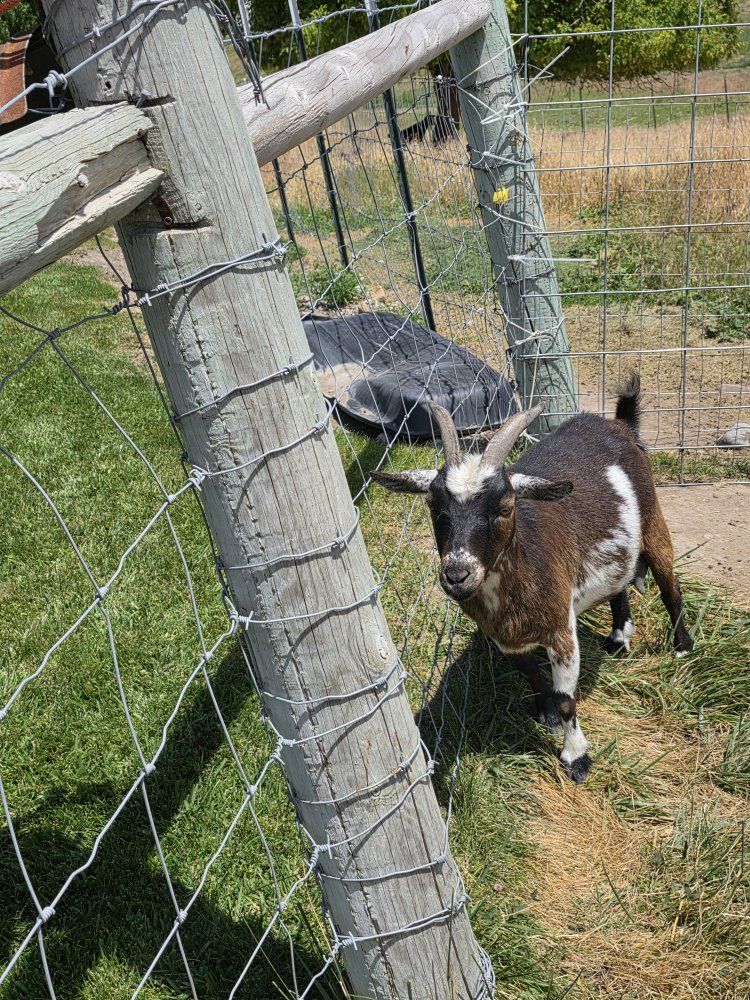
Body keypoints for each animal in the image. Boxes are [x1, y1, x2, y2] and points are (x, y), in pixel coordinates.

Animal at [371, 377, 693, 783]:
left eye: (505, 507)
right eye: (433, 505)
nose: (457, 574)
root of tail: (619, 423)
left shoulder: (560, 629)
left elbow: (567, 699)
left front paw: (576, 757)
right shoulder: (505, 638)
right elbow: (533, 678)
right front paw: (547, 716)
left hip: (653, 520)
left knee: (671, 585)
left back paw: (682, 647)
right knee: (618, 583)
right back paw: (619, 638)